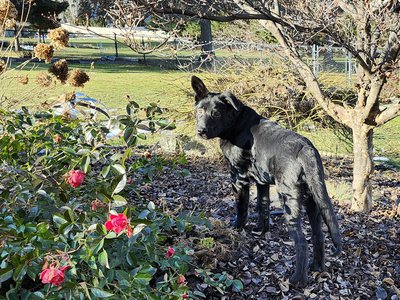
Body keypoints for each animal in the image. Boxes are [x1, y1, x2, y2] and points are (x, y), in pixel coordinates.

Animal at [192, 75, 342, 286]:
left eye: (216, 113)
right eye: (200, 111)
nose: (201, 131)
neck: (235, 124)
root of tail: (306, 149)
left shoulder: (238, 177)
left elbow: (242, 207)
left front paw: (237, 228)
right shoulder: (262, 182)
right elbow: (262, 206)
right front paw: (261, 230)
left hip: (288, 198)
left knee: (301, 241)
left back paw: (297, 280)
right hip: (313, 199)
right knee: (318, 235)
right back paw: (317, 267)